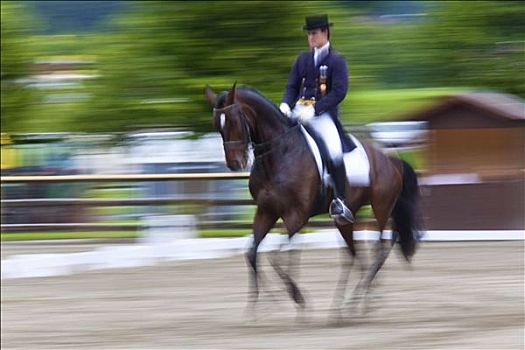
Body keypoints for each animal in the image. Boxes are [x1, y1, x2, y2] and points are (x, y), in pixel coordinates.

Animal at [205, 82, 422, 318]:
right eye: (217, 125)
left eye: (234, 120)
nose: (235, 163)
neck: (279, 154)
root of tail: (392, 159)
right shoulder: (266, 211)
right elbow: (252, 253)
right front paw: (264, 305)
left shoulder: (296, 216)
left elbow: (277, 257)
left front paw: (297, 299)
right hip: (346, 217)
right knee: (353, 253)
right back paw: (347, 305)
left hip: (381, 207)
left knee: (382, 245)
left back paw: (364, 299)